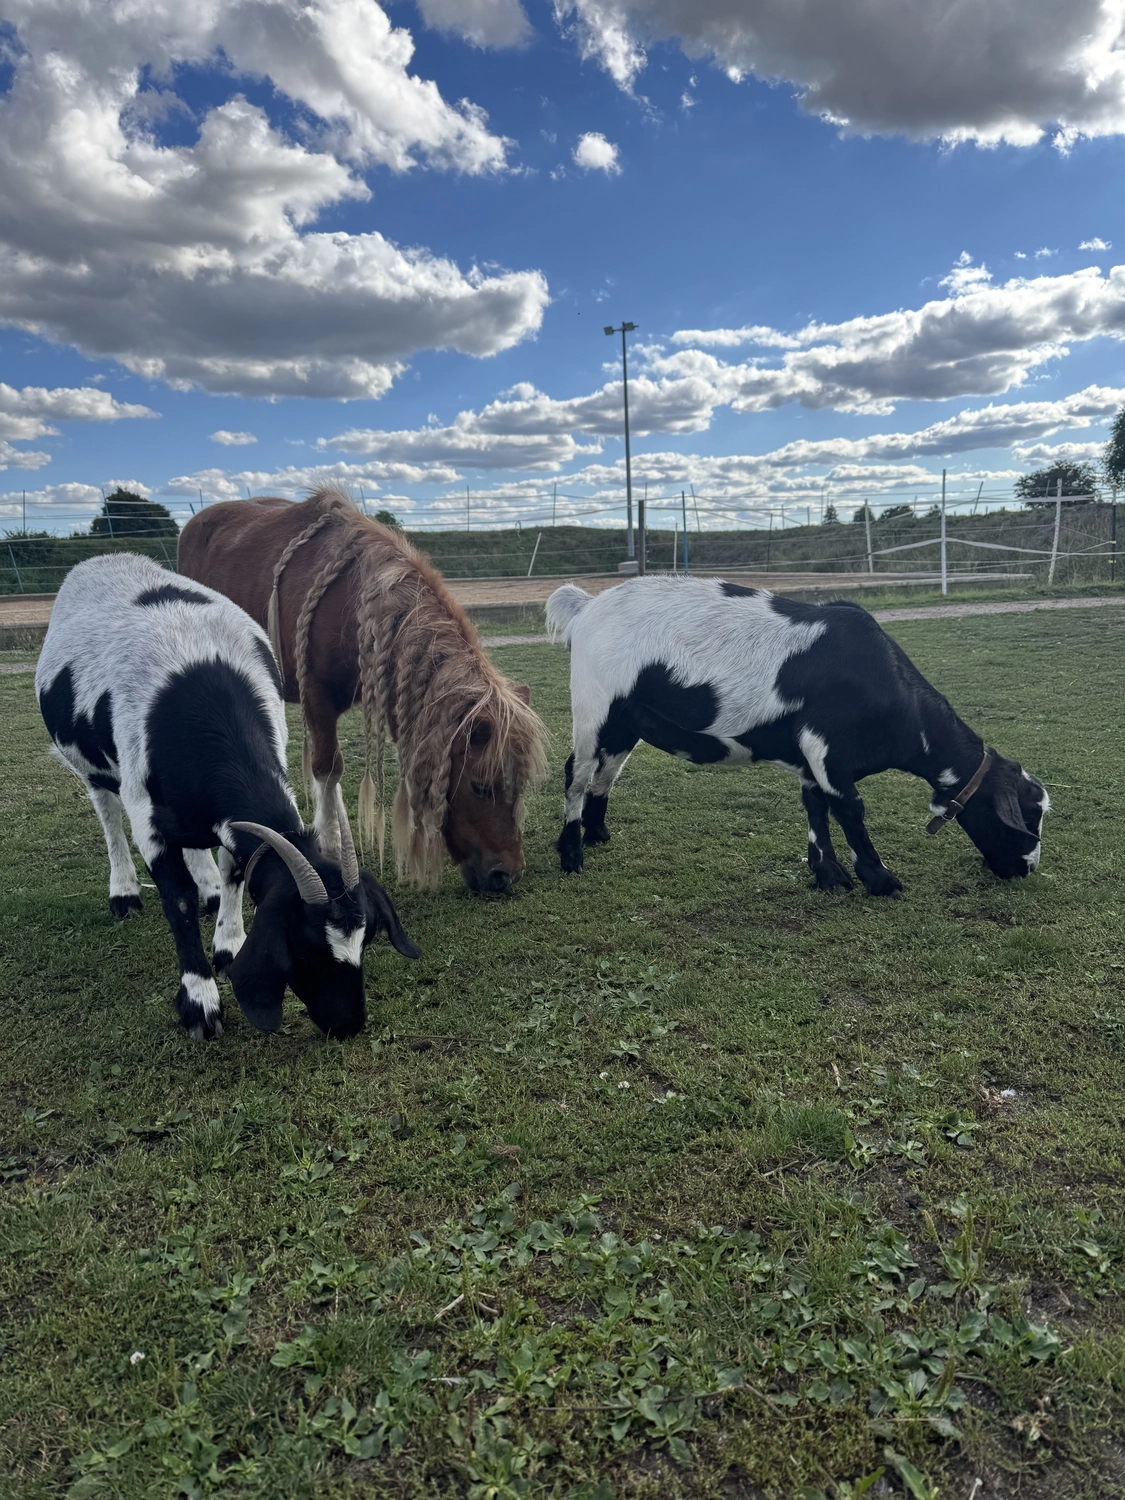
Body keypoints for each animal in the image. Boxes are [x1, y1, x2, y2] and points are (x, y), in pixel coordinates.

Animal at [36, 554, 419, 1041]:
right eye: (303, 946)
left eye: (366, 939)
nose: (349, 1024)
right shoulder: (147, 814)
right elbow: (176, 899)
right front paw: (200, 1002)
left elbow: (235, 870)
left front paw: (229, 943)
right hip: (92, 764)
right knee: (106, 811)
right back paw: (123, 892)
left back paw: (209, 890)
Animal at [547, 578, 1049, 893]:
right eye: (1029, 816)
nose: (1026, 869)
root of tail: (586, 607)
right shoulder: (826, 749)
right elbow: (849, 810)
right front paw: (880, 880)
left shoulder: (811, 756)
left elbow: (815, 807)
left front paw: (828, 875)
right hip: (594, 705)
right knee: (577, 772)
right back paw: (570, 855)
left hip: (627, 722)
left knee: (606, 772)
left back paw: (597, 833)